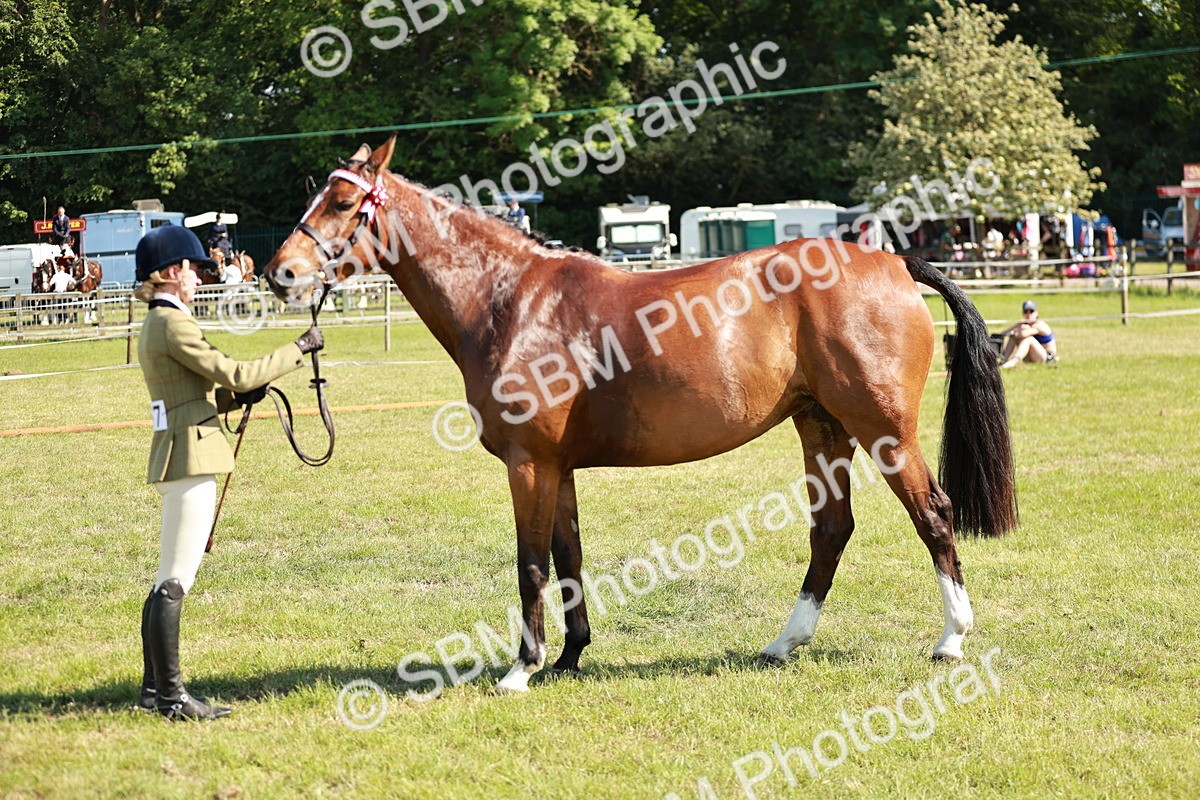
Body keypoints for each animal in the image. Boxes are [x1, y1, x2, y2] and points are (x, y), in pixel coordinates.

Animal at [263, 137, 1017, 694]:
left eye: (341, 201)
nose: (280, 274)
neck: (509, 300)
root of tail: (895, 262)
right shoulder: (558, 468)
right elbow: (568, 557)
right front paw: (570, 658)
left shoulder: (528, 465)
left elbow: (530, 565)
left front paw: (521, 669)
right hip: (821, 425)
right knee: (831, 529)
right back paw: (783, 643)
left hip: (884, 429)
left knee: (934, 515)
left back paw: (950, 640)